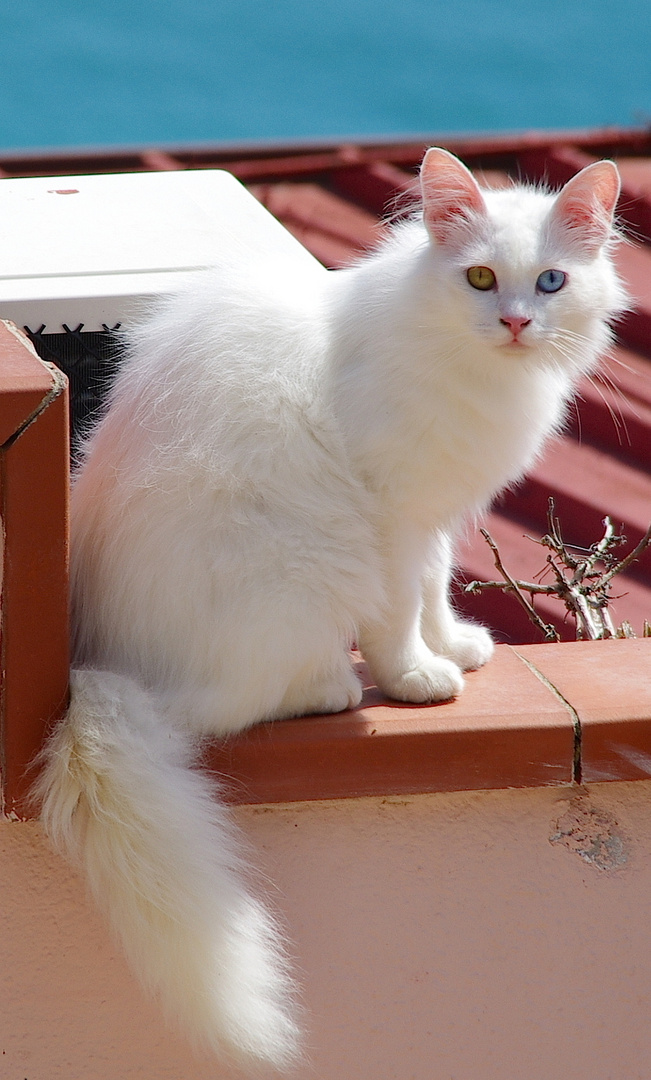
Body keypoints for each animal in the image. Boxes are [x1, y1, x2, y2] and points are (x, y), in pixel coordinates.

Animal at [34, 150, 626, 1071]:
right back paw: (331, 689)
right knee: (233, 705)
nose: (516, 322)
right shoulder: (392, 510)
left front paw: (458, 647)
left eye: (550, 282)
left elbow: (434, 586)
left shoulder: (434, 514)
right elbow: (398, 609)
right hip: (307, 566)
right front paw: (417, 679)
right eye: (479, 278)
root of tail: (96, 668)